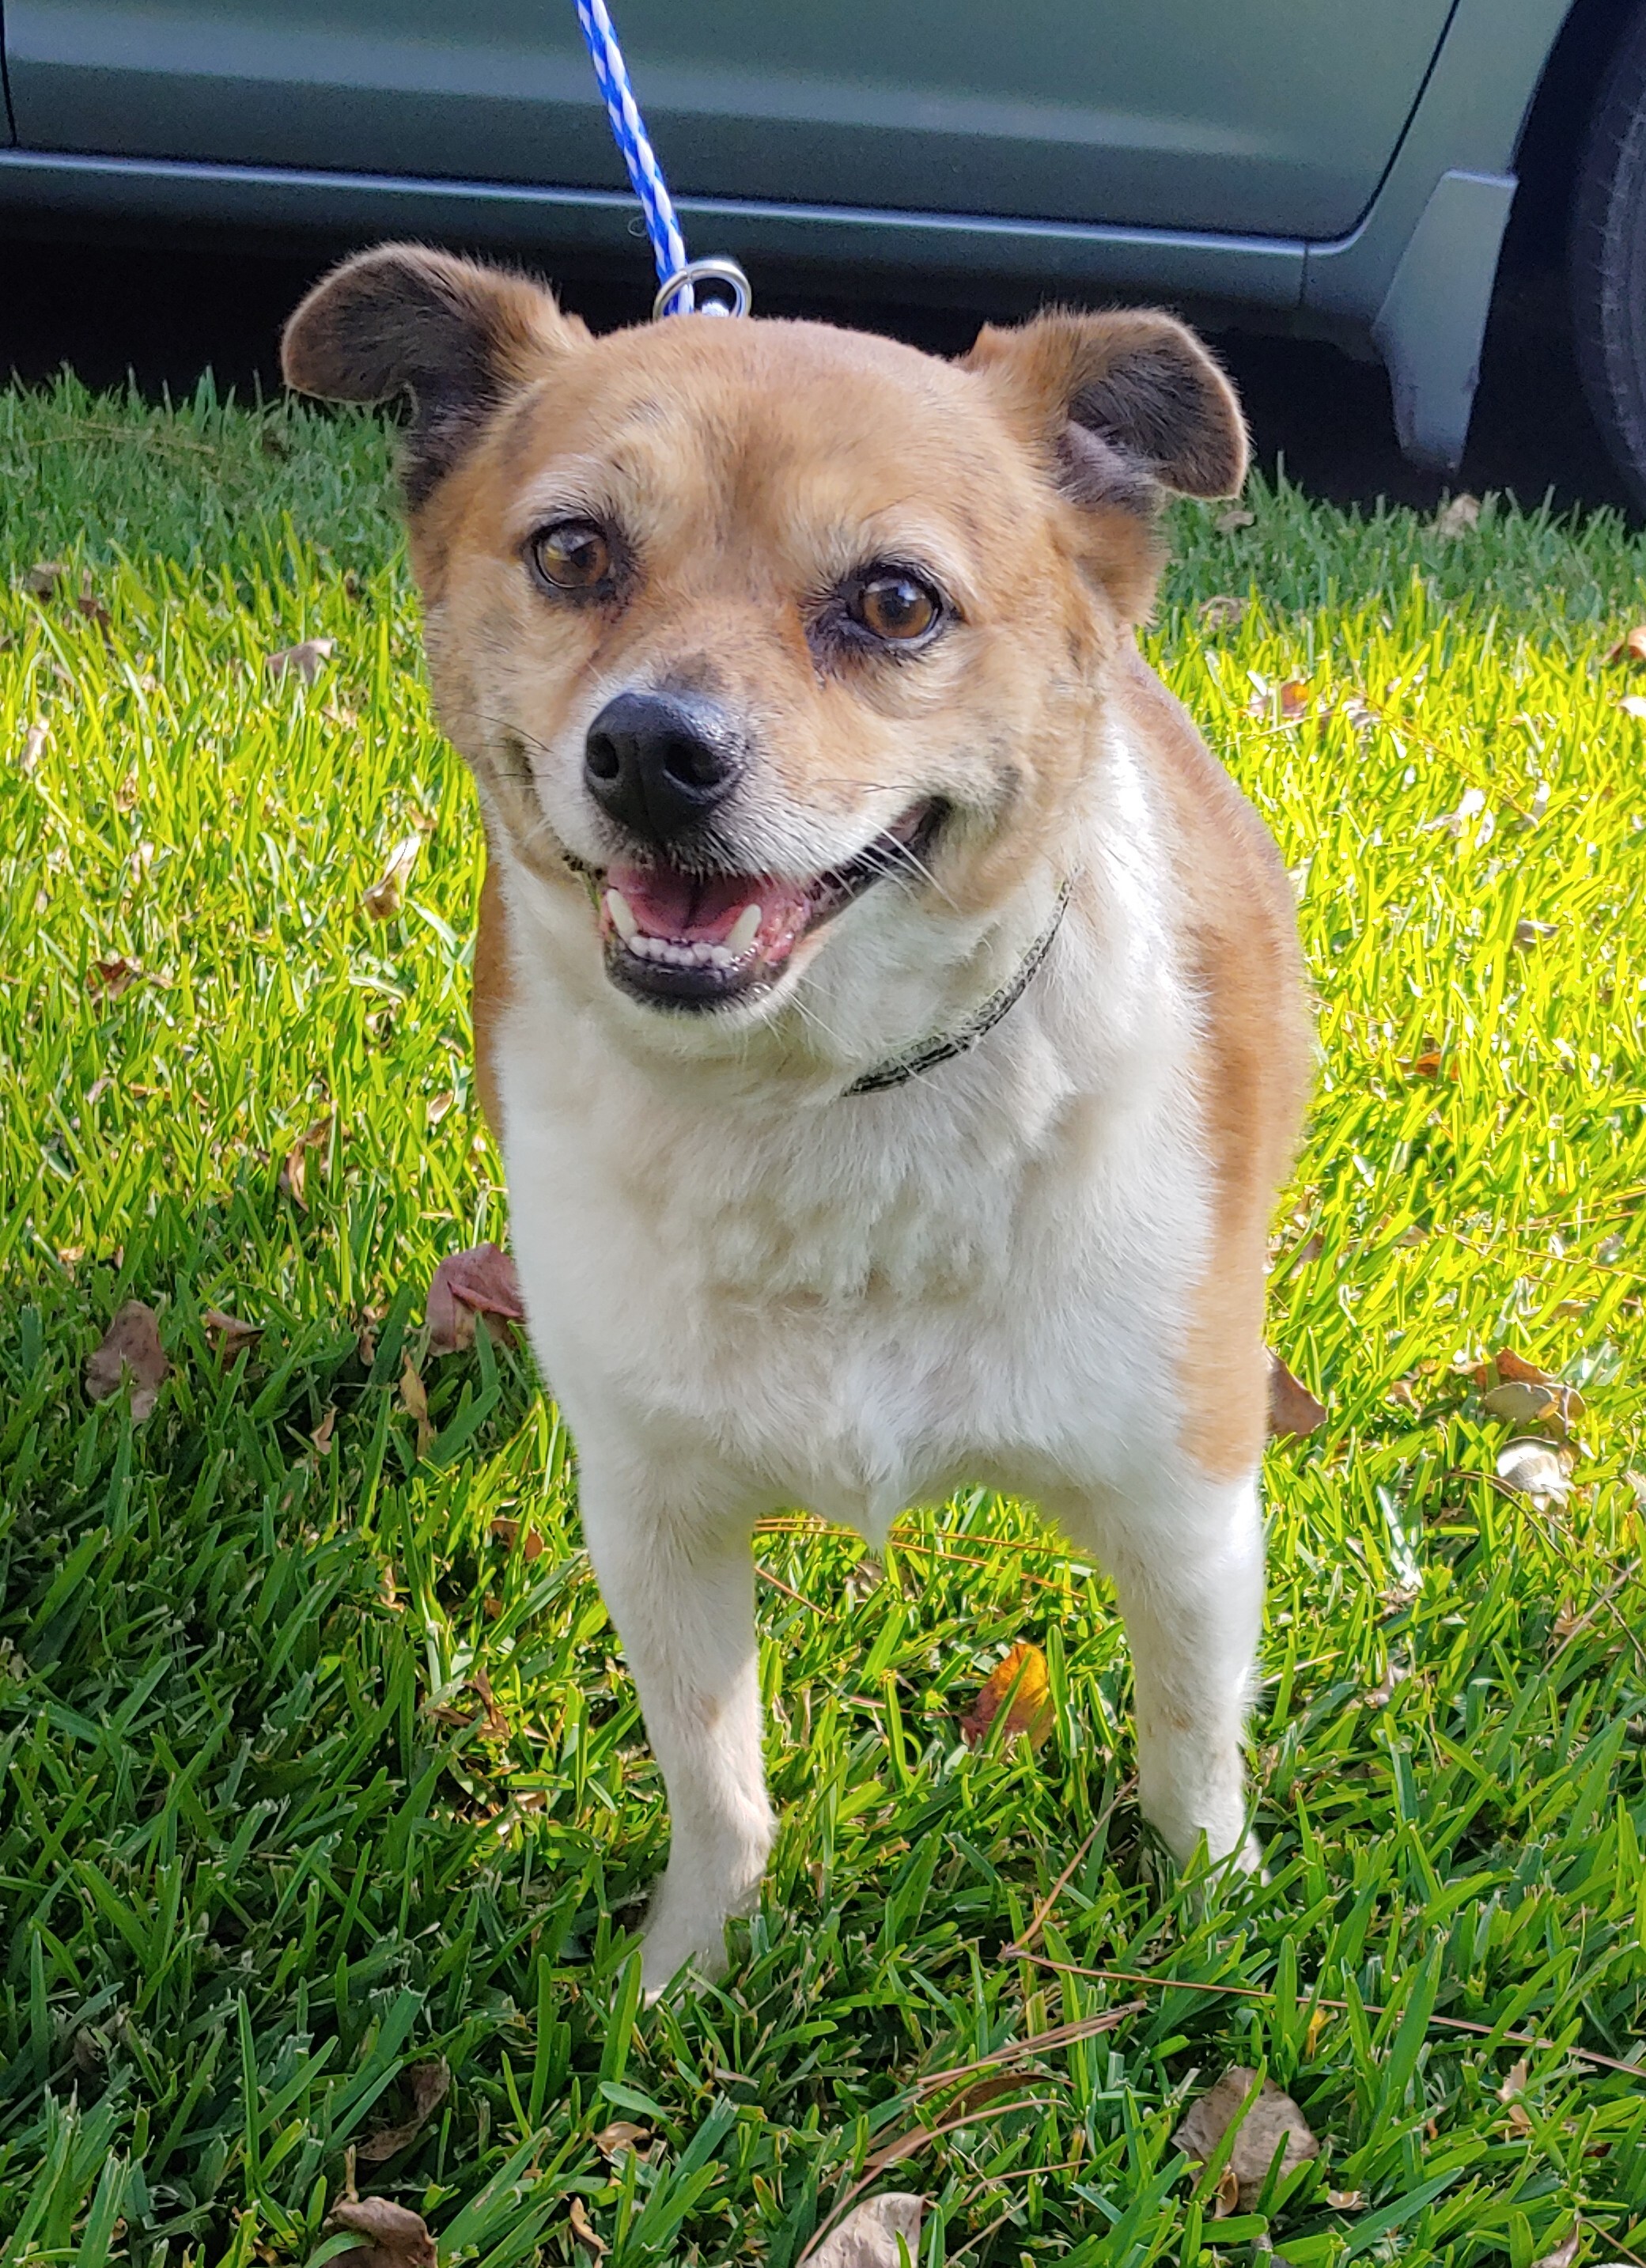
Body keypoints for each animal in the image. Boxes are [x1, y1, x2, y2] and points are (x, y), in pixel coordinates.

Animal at [283, 244, 1315, 1986]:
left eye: (895, 600)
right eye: (573, 550)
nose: (651, 748)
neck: (820, 1101)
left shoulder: (1182, 1505)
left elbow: (1188, 1739)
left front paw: (1210, 1911)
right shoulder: (654, 1511)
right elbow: (716, 1775)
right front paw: (684, 1970)